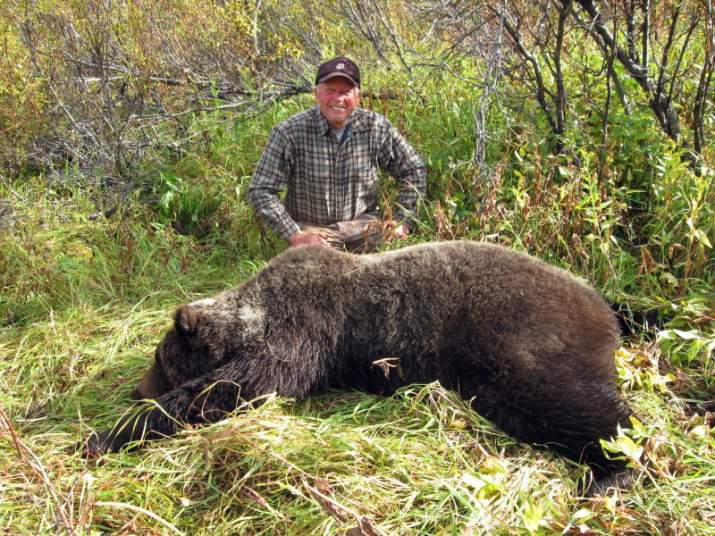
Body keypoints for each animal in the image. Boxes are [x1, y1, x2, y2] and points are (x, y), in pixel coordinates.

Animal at [85, 243, 632, 486]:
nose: (136, 388)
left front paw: (108, 434)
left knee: (559, 398)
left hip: (515, 337)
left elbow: (243, 384)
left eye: (160, 358)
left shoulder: (302, 327)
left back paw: (615, 466)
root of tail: (601, 302)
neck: (252, 312)